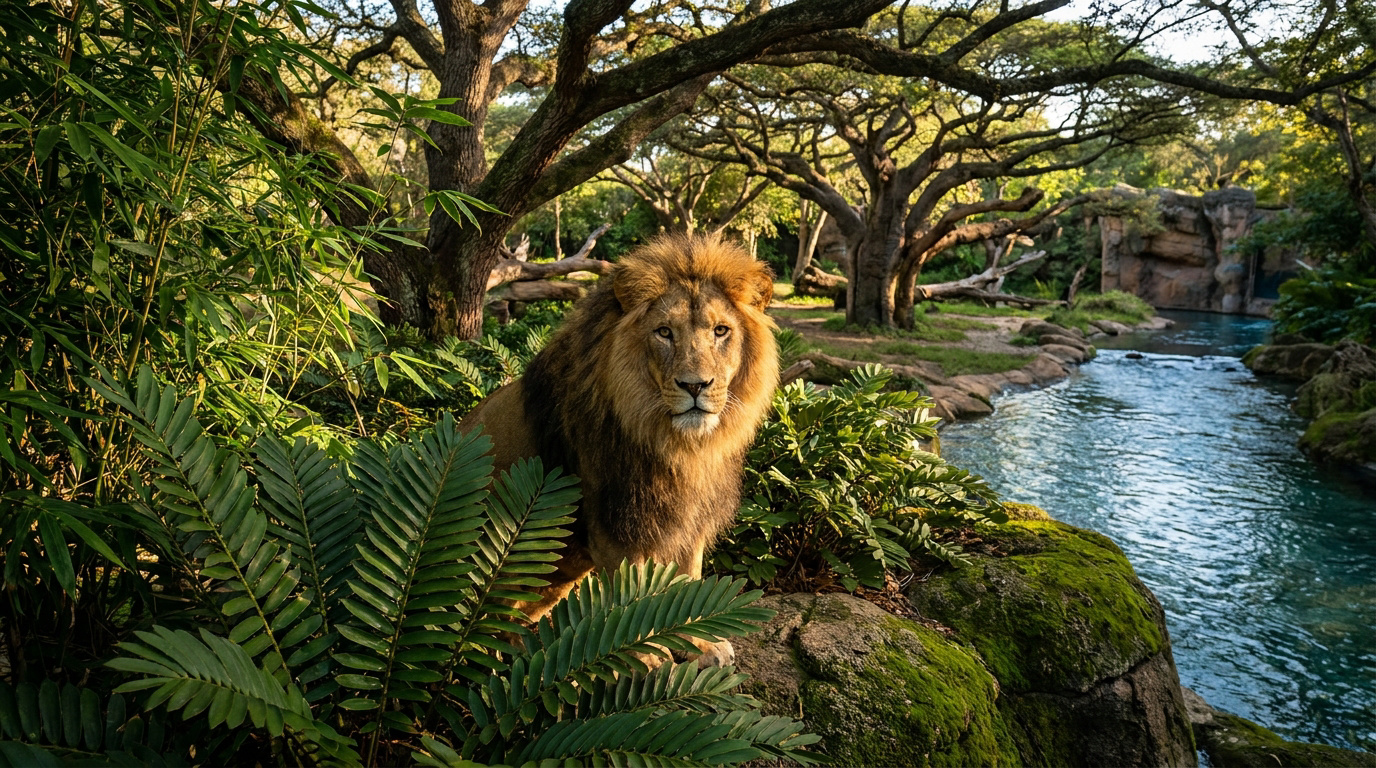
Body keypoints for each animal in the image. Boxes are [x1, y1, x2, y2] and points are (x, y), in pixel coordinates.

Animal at [459, 231, 778, 666]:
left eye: (720, 331)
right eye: (664, 332)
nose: (695, 386)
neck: (678, 445)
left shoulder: (689, 518)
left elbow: (686, 580)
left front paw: (698, 643)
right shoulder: (615, 524)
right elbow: (633, 595)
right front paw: (644, 656)